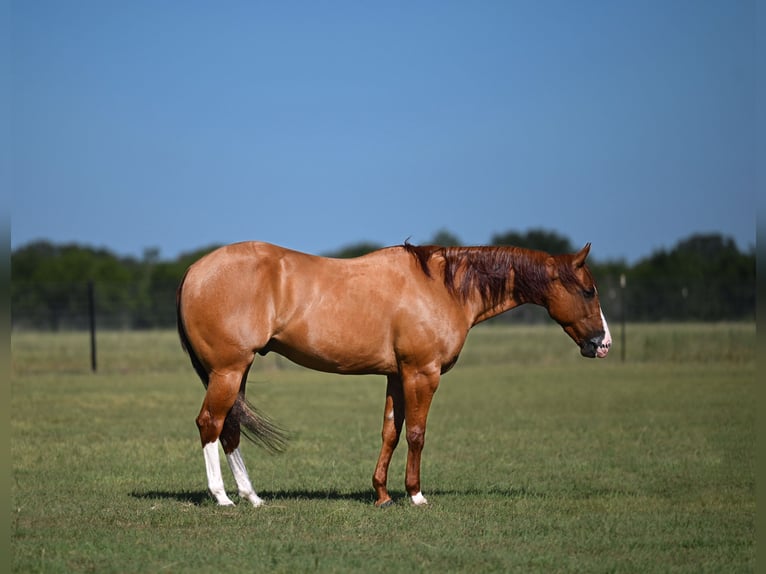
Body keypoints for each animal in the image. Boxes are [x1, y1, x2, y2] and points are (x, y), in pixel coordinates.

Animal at [176, 240, 611, 508]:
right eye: (589, 290)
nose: (602, 343)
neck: (443, 288)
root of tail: (195, 270)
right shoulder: (422, 373)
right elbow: (417, 433)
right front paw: (415, 494)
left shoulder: (396, 376)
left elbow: (391, 431)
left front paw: (382, 494)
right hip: (228, 370)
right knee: (210, 423)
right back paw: (222, 497)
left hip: (237, 371)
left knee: (230, 428)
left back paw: (252, 497)